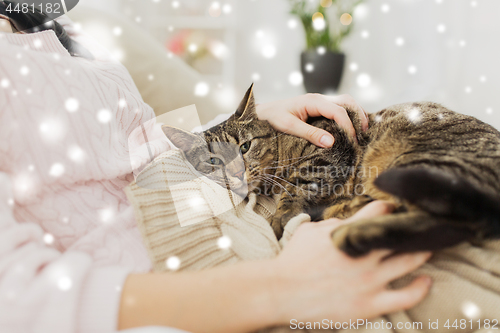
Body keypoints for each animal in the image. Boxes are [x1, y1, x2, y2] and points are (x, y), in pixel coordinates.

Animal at [163, 84, 500, 255]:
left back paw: (351, 228)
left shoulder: (330, 145)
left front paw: (281, 217)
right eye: (213, 162)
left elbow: (297, 184)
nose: (235, 173)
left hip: (417, 163)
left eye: (245, 147)